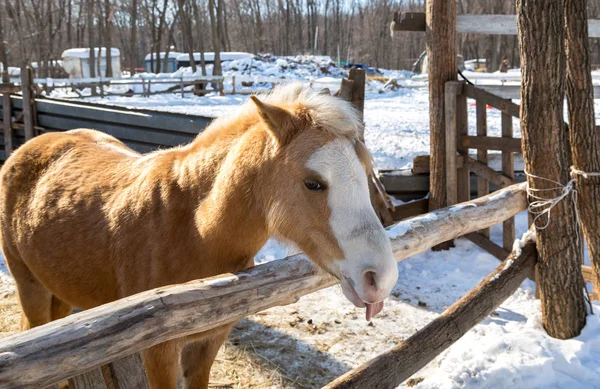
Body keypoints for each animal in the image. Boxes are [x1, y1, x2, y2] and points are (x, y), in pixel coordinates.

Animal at [0, 84, 398, 388]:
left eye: (365, 174)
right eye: (313, 183)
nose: (381, 278)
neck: (192, 230)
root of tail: (28, 148)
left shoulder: (209, 340)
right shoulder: (158, 350)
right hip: (30, 288)